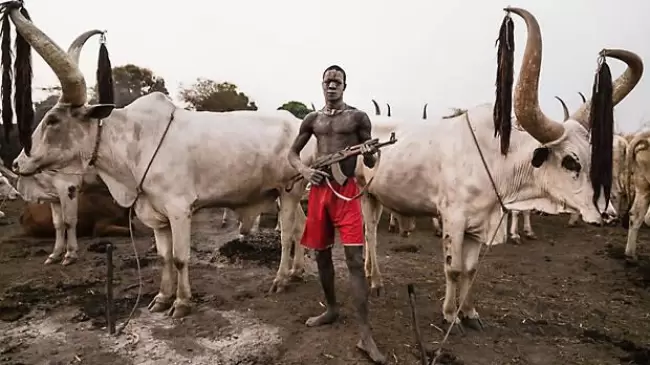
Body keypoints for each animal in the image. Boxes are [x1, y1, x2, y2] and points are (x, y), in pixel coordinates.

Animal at [352, 7, 640, 328]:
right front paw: (450, 314)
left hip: (377, 195)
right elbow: (453, 269)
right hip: (363, 193)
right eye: (570, 160)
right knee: (370, 234)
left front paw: (469, 312)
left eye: (594, 156)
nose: (608, 213)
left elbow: (470, 270)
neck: (495, 161)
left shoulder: (481, 223)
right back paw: (375, 281)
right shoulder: (453, 219)